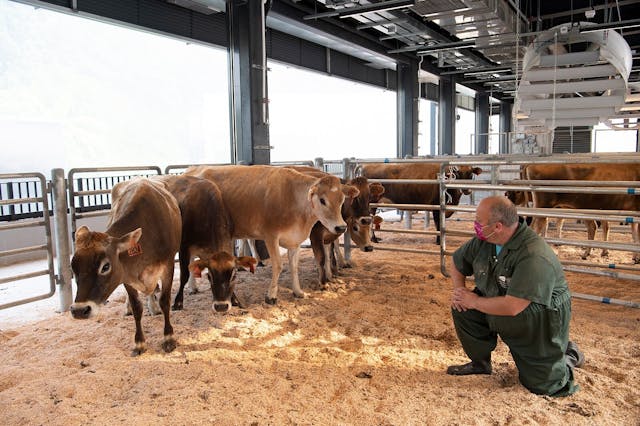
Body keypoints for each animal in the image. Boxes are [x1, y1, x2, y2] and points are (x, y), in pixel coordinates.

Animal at [69, 177, 181, 356]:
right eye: (73, 268)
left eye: (105, 266)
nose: (79, 310)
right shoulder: (126, 275)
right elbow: (136, 307)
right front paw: (139, 343)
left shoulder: (168, 266)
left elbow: (165, 301)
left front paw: (168, 338)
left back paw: (153, 307)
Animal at [153, 175, 258, 312]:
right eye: (209, 276)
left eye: (234, 276)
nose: (221, 306)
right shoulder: (184, 247)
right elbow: (184, 275)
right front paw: (178, 302)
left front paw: (235, 300)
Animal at [185, 163, 358, 302]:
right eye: (322, 200)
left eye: (342, 200)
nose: (341, 227)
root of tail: (192, 169)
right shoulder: (271, 236)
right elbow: (278, 266)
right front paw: (271, 296)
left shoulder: (294, 240)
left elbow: (294, 266)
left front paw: (298, 291)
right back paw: (192, 286)